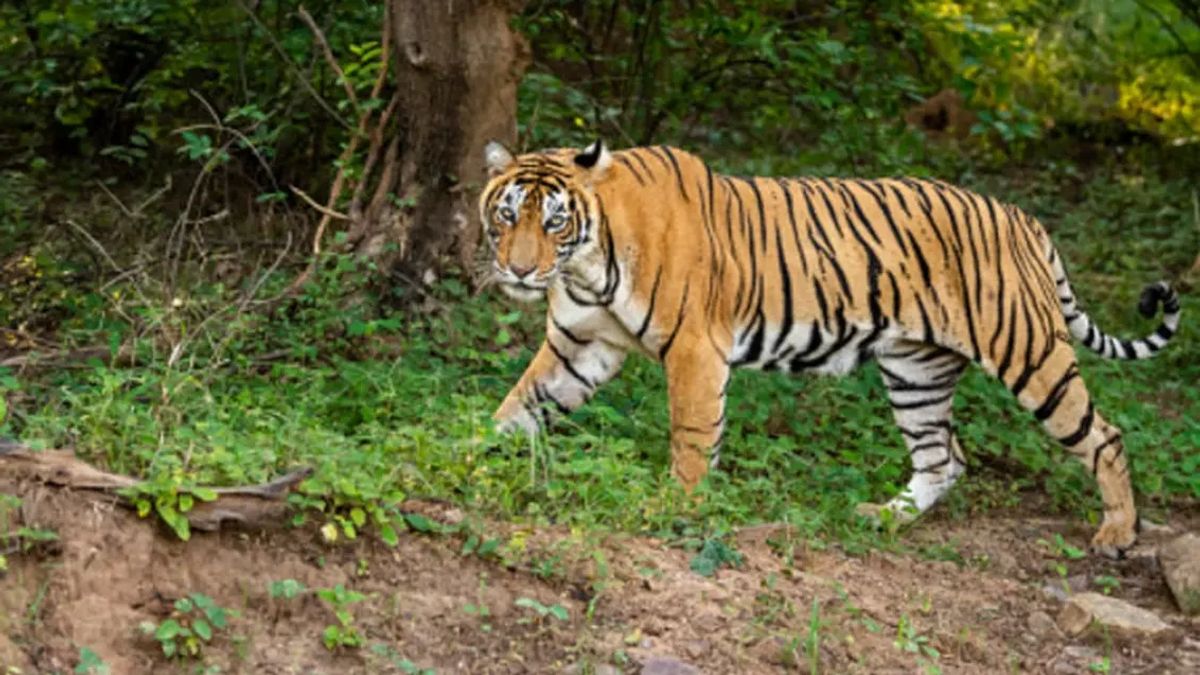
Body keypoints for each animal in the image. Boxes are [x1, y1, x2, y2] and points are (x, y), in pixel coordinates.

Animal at [477, 139, 1182, 559]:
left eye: (555, 221)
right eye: (508, 215)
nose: (518, 270)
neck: (585, 265)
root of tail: (1024, 219)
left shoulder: (696, 351)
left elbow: (690, 438)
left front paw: (675, 506)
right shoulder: (580, 345)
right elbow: (518, 409)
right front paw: (470, 457)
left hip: (1029, 354)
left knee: (1105, 436)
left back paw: (1118, 532)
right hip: (915, 370)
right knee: (944, 456)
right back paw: (885, 518)